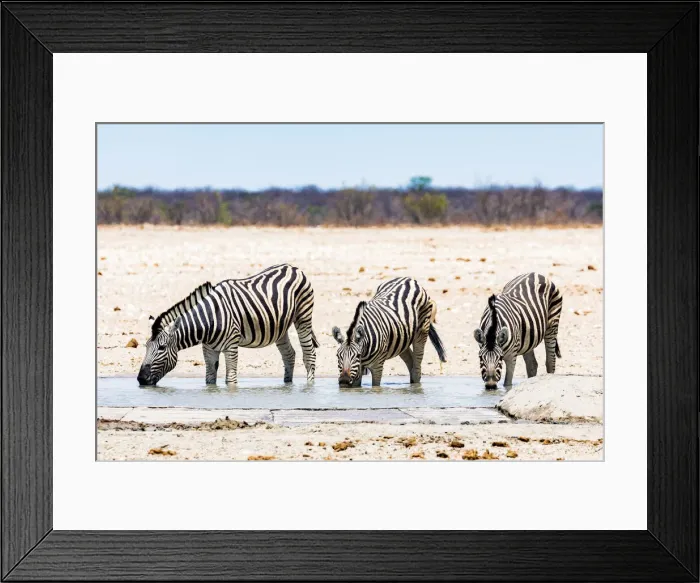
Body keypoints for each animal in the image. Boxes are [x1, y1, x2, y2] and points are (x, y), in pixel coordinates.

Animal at [137, 264, 319, 386]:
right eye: (145, 346)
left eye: (161, 348)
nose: (140, 379)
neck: (208, 321)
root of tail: (293, 267)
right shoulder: (209, 349)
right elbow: (210, 379)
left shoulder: (231, 346)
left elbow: (230, 380)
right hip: (280, 327)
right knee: (289, 354)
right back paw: (287, 384)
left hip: (303, 316)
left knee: (309, 354)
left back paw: (309, 386)